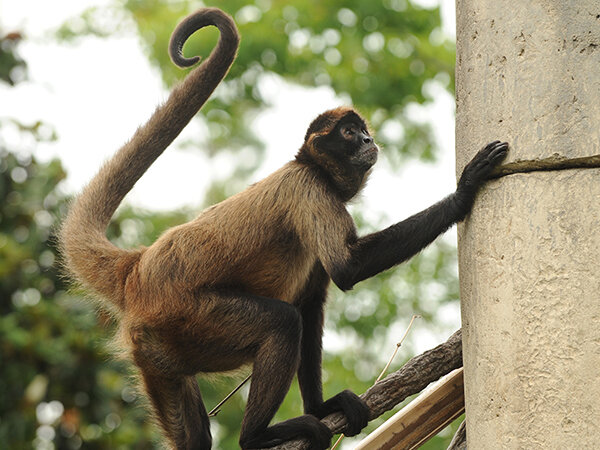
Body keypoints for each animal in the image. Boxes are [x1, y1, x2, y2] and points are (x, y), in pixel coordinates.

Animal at [59, 7, 506, 450]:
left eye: (363, 130)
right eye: (349, 132)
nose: (367, 139)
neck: (310, 166)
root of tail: (138, 268)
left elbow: (312, 303)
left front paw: (323, 407)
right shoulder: (308, 189)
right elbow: (346, 269)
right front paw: (464, 190)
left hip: (157, 352)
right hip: (186, 317)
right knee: (283, 322)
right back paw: (256, 436)